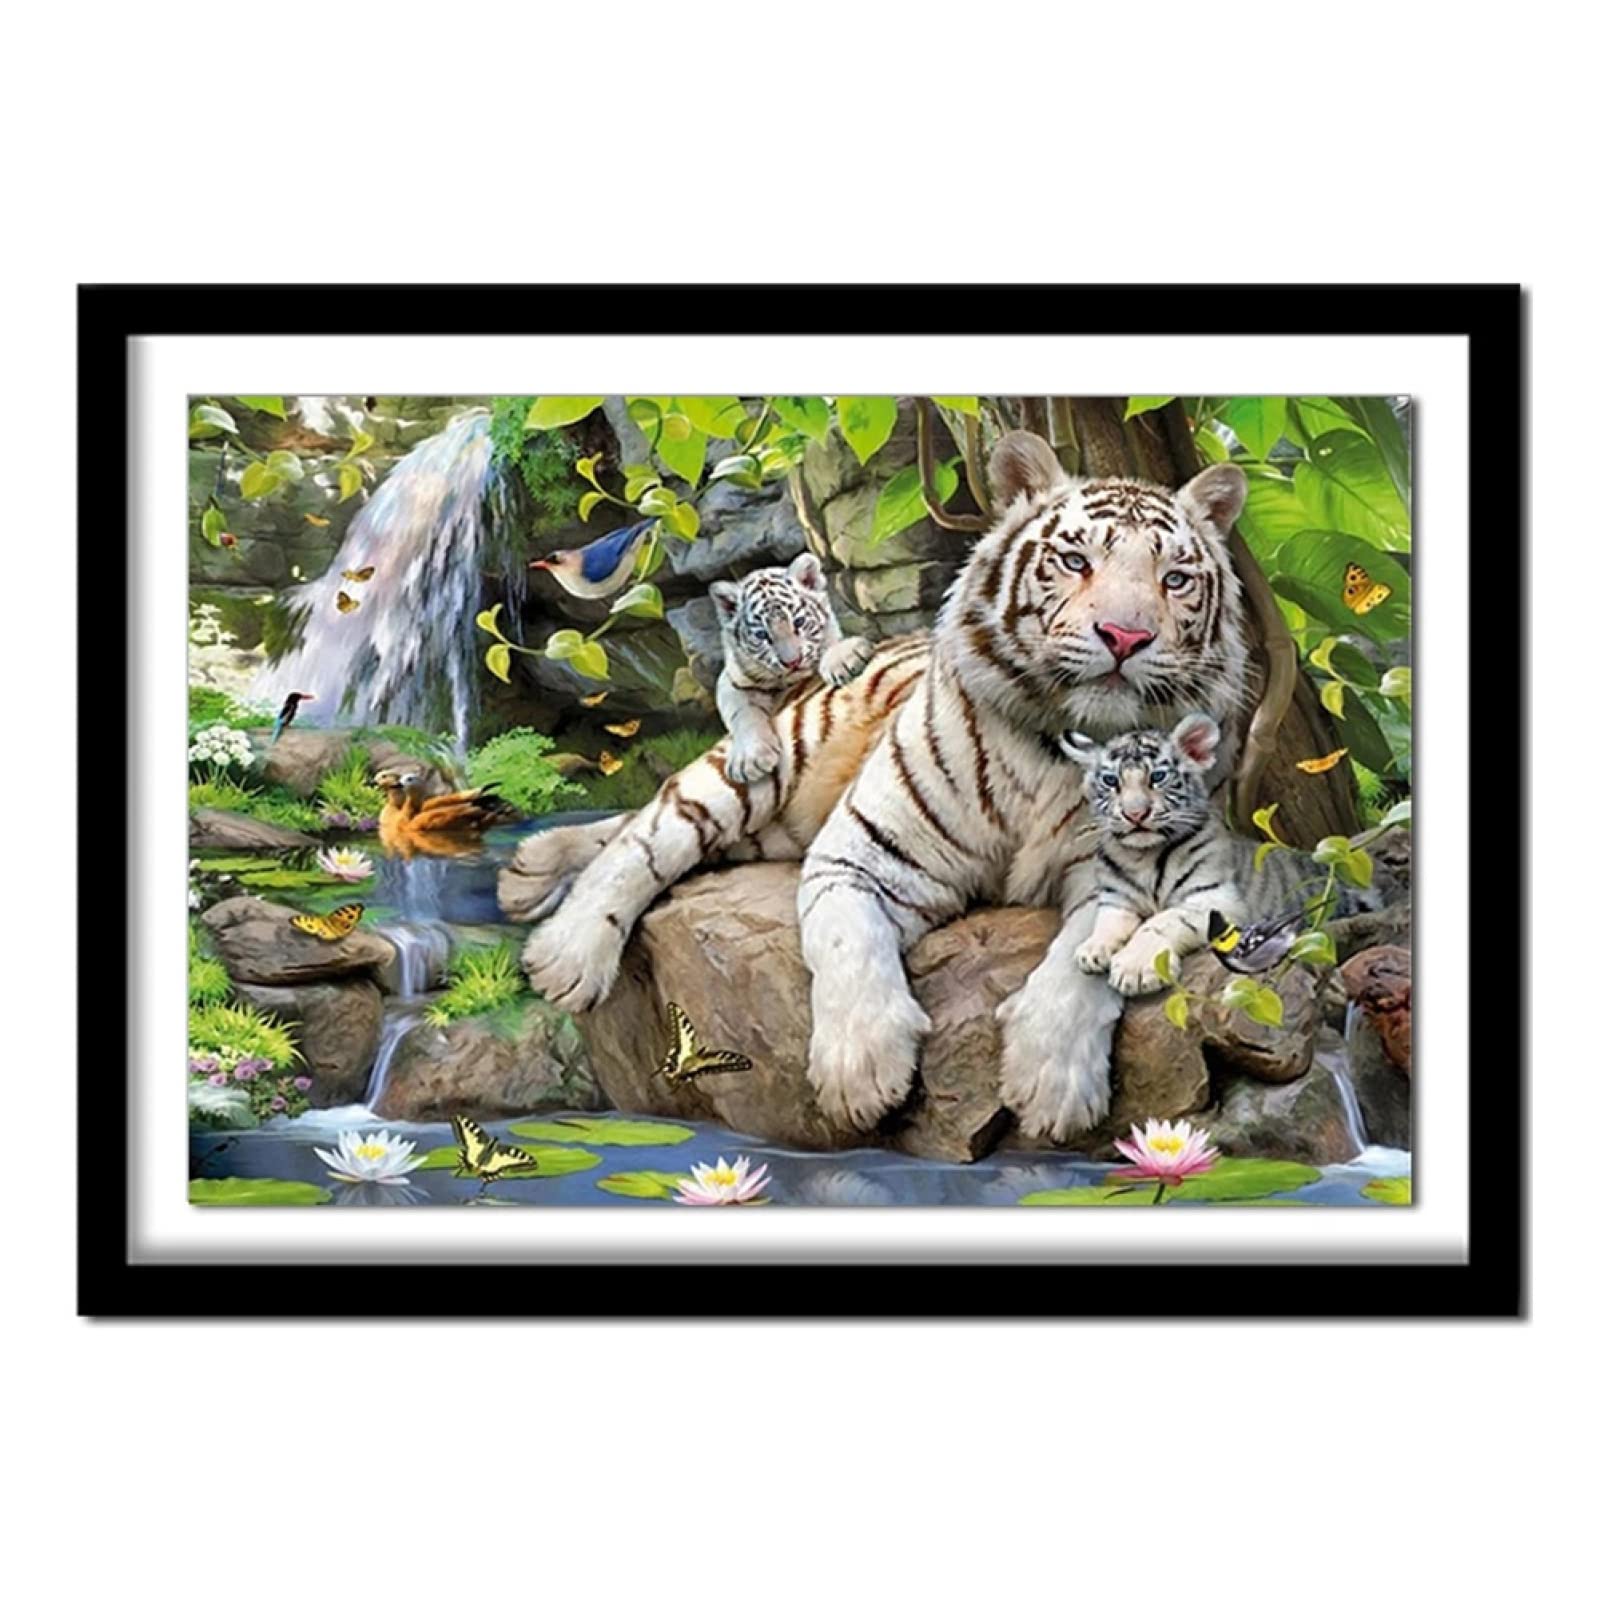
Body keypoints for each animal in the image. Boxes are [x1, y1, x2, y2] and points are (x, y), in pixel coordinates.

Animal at [711, 551, 874, 782]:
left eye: (799, 622)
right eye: (762, 635)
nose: (792, 662)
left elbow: (830, 645)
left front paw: (843, 660)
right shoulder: (732, 681)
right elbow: (742, 713)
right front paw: (750, 759)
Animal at [1058, 712, 1374, 994]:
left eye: (1157, 777)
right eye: (1111, 781)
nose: (1135, 814)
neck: (1142, 856)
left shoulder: (1215, 899)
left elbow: (1160, 921)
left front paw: (1134, 969)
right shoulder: (1117, 898)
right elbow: (1108, 920)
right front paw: (1093, 949)